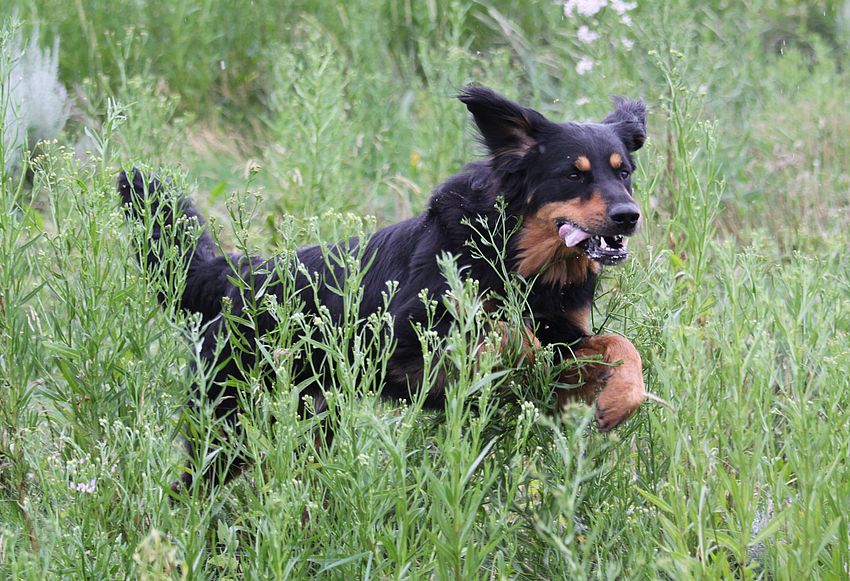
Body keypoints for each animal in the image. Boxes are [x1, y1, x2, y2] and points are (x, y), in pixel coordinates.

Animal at [118, 86, 647, 489]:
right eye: (573, 174)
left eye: (624, 173)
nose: (629, 216)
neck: (519, 259)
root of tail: (233, 274)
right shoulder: (404, 338)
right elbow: (503, 331)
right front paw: (521, 354)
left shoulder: (568, 336)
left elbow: (620, 344)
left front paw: (622, 398)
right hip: (228, 420)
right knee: (189, 488)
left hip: (313, 414)